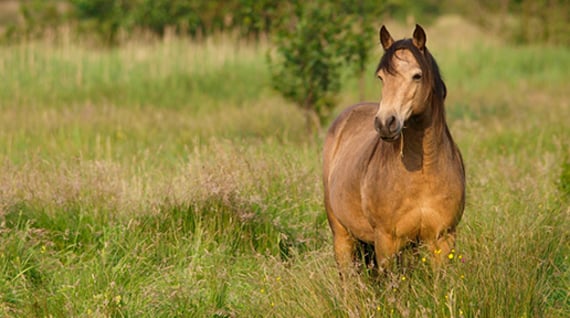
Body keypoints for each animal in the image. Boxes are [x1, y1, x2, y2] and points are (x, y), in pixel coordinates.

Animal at [322, 24, 464, 274]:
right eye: (381, 77)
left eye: (417, 76)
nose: (385, 123)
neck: (425, 170)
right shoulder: (386, 240)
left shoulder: (443, 239)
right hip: (341, 236)